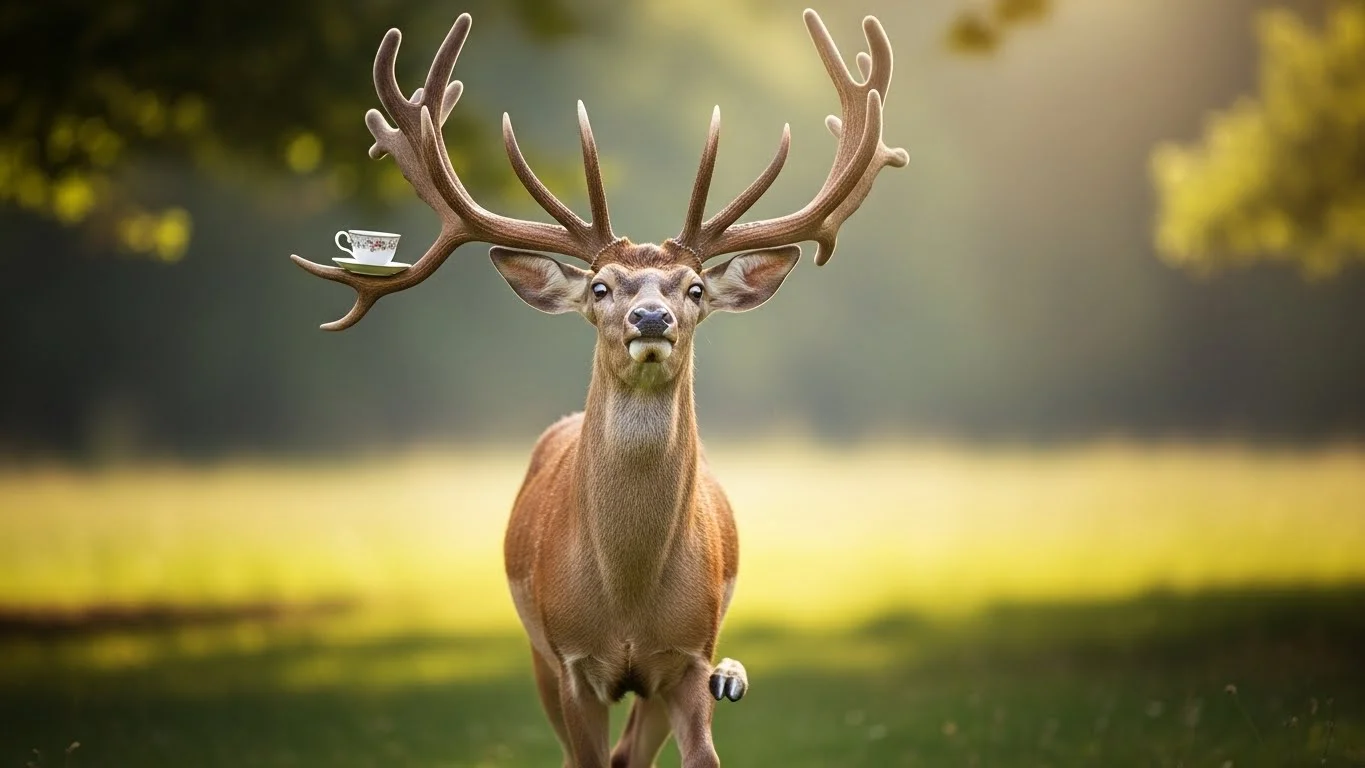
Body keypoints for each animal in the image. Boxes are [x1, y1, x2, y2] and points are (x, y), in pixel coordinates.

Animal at [290, 8, 906, 767]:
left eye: (694, 289)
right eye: (601, 287)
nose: (651, 318)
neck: (627, 603)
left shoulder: (690, 657)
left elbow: (696, 755)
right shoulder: (571, 662)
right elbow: (584, 754)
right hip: (536, 656)